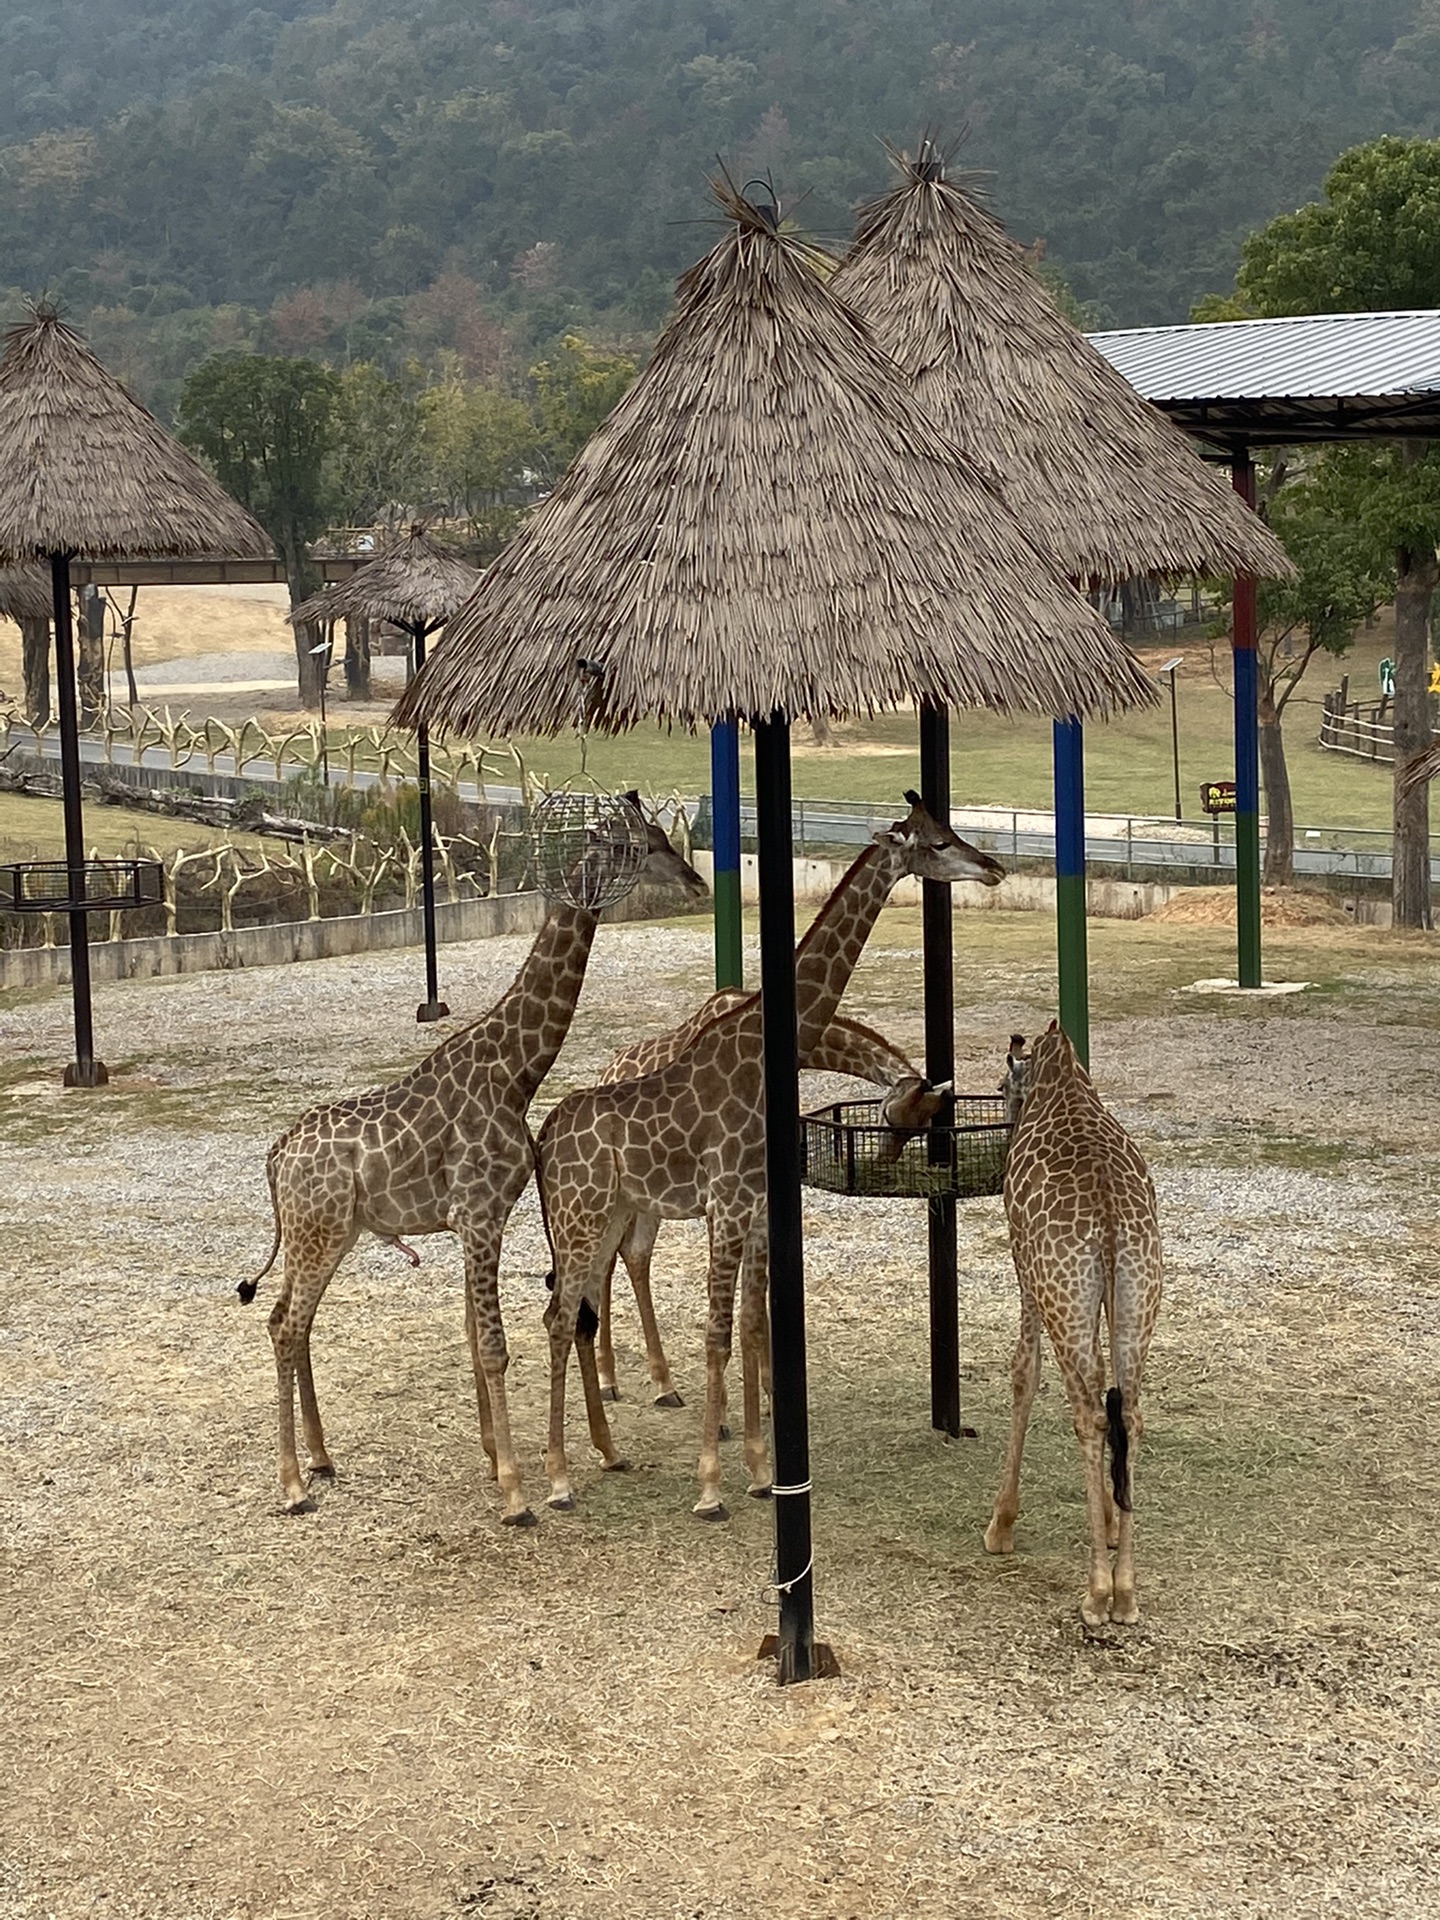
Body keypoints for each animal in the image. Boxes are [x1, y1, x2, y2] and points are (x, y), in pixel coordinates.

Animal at [240, 817, 706, 1520]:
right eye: (641, 844)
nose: (696, 880)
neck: (515, 1071)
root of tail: (275, 1157)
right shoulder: (480, 1213)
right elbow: (492, 1346)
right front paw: (516, 1492)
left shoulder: (479, 1219)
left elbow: (471, 1333)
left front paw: (494, 1460)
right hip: (316, 1234)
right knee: (288, 1326)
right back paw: (293, 1484)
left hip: (326, 1235)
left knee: (285, 1321)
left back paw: (321, 1459)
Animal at [595, 998, 936, 1405]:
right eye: (888, 1115)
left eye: (919, 1130)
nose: (884, 1160)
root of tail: (605, 1072)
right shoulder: (721, 1195)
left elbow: (762, 1289)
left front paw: (770, 1388)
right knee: (608, 1259)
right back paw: (608, 1380)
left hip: (645, 1197)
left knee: (633, 1254)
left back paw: (664, 1385)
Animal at [990, 1021, 1167, 1620]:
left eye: (1002, 1088)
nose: (1009, 1117)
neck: (1059, 1073)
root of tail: (1110, 1222)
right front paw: (1109, 1523)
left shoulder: (1026, 1273)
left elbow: (1023, 1374)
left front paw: (1000, 1525)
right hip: (1138, 1295)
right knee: (1128, 1414)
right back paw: (1127, 1591)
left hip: (1061, 1293)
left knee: (1089, 1415)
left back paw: (1097, 1592)